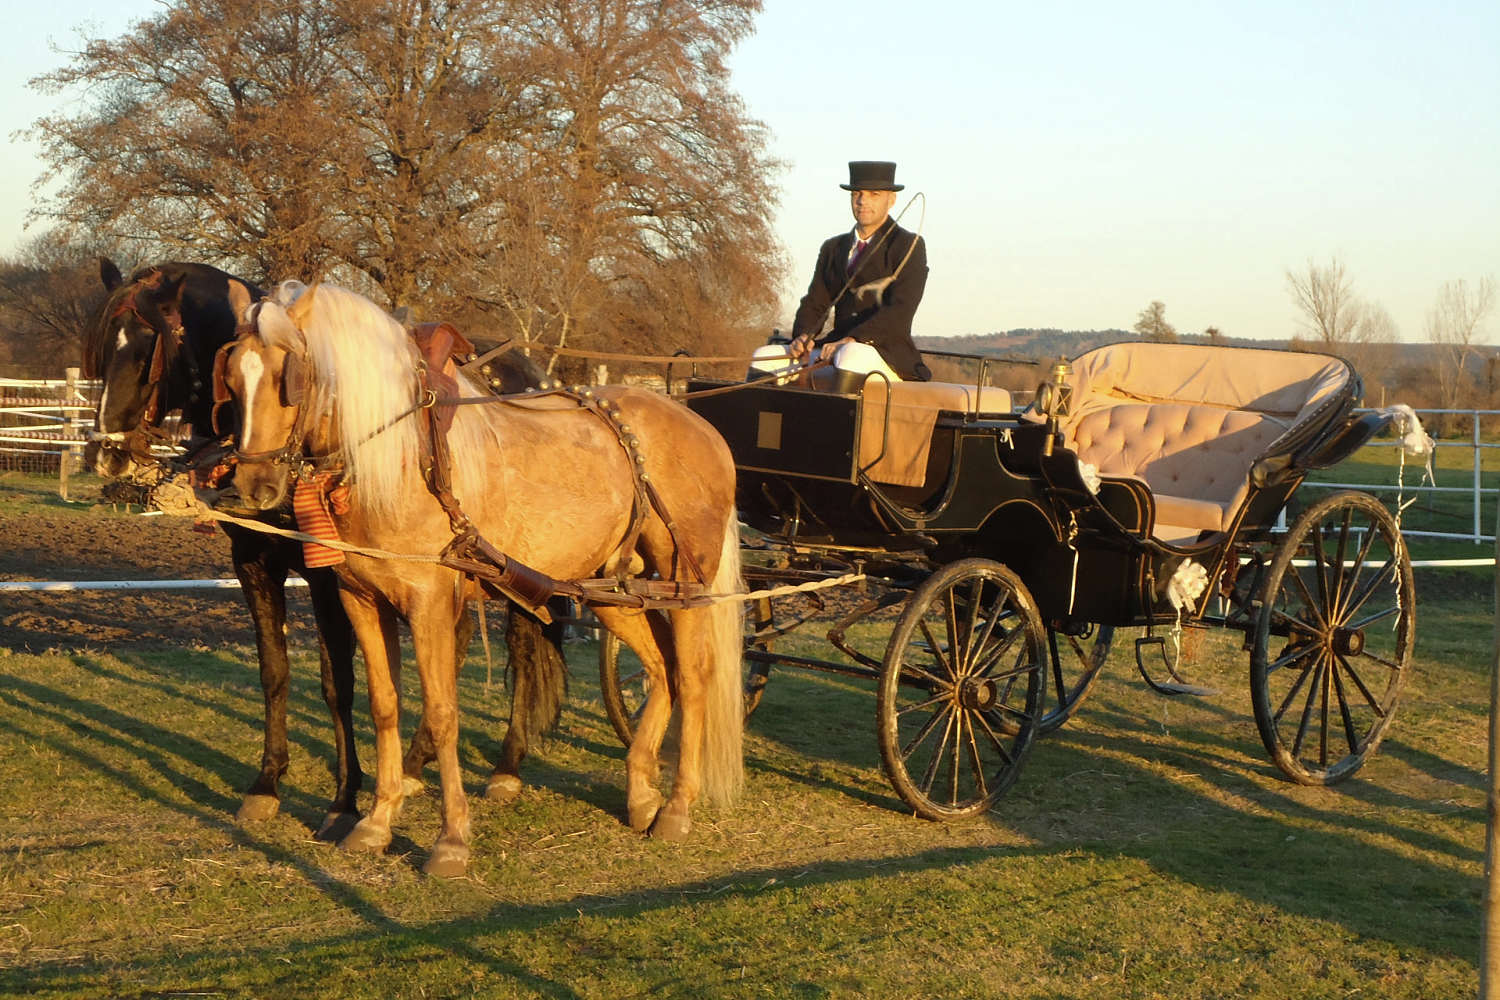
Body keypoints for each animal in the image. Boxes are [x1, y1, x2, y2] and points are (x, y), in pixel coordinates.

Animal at [86, 257, 567, 839]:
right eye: (101, 349)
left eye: (146, 350)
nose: (106, 455)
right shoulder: (254, 561)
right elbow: (275, 672)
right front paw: (267, 785)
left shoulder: (327, 572)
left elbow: (338, 682)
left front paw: (344, 801)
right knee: (459, 642)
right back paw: (415, 764)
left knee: (523, 644)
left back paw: (505, 768)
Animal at [225, 281, 747, 875]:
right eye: (231, 377)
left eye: (291, 376)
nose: (255, 485)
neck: (401, 461)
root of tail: (699, 425)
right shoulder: (360, 598)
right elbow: (384, 706)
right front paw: (375, 823)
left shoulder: (428, 601)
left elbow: (441, 711)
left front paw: (450, 839)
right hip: (611, 589)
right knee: (662, 669)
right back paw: (641, 793)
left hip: (687, 582)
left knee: (694, 675)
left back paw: (678, 807)